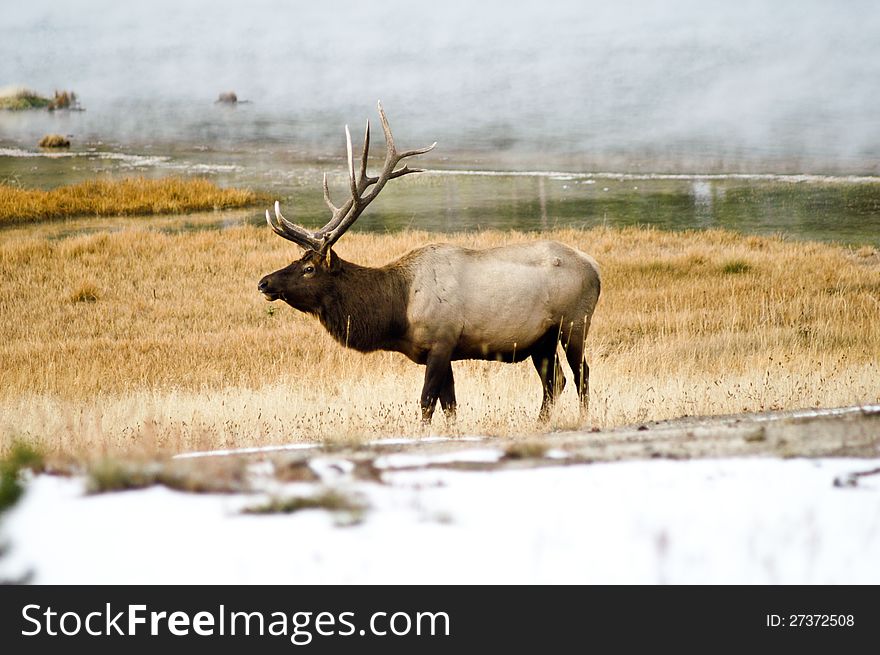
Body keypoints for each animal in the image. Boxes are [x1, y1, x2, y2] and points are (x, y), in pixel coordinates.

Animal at [254, 100, 600, 422]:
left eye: (309, 268)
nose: (263, 282)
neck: (397, 311)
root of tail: (595, 268)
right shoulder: (439, 350)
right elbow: (450, 406)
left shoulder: (442, 340)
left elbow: (426, 403)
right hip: (542, 338)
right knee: (555, 380)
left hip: (574, 323)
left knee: (580, 375)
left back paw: (584, 418)